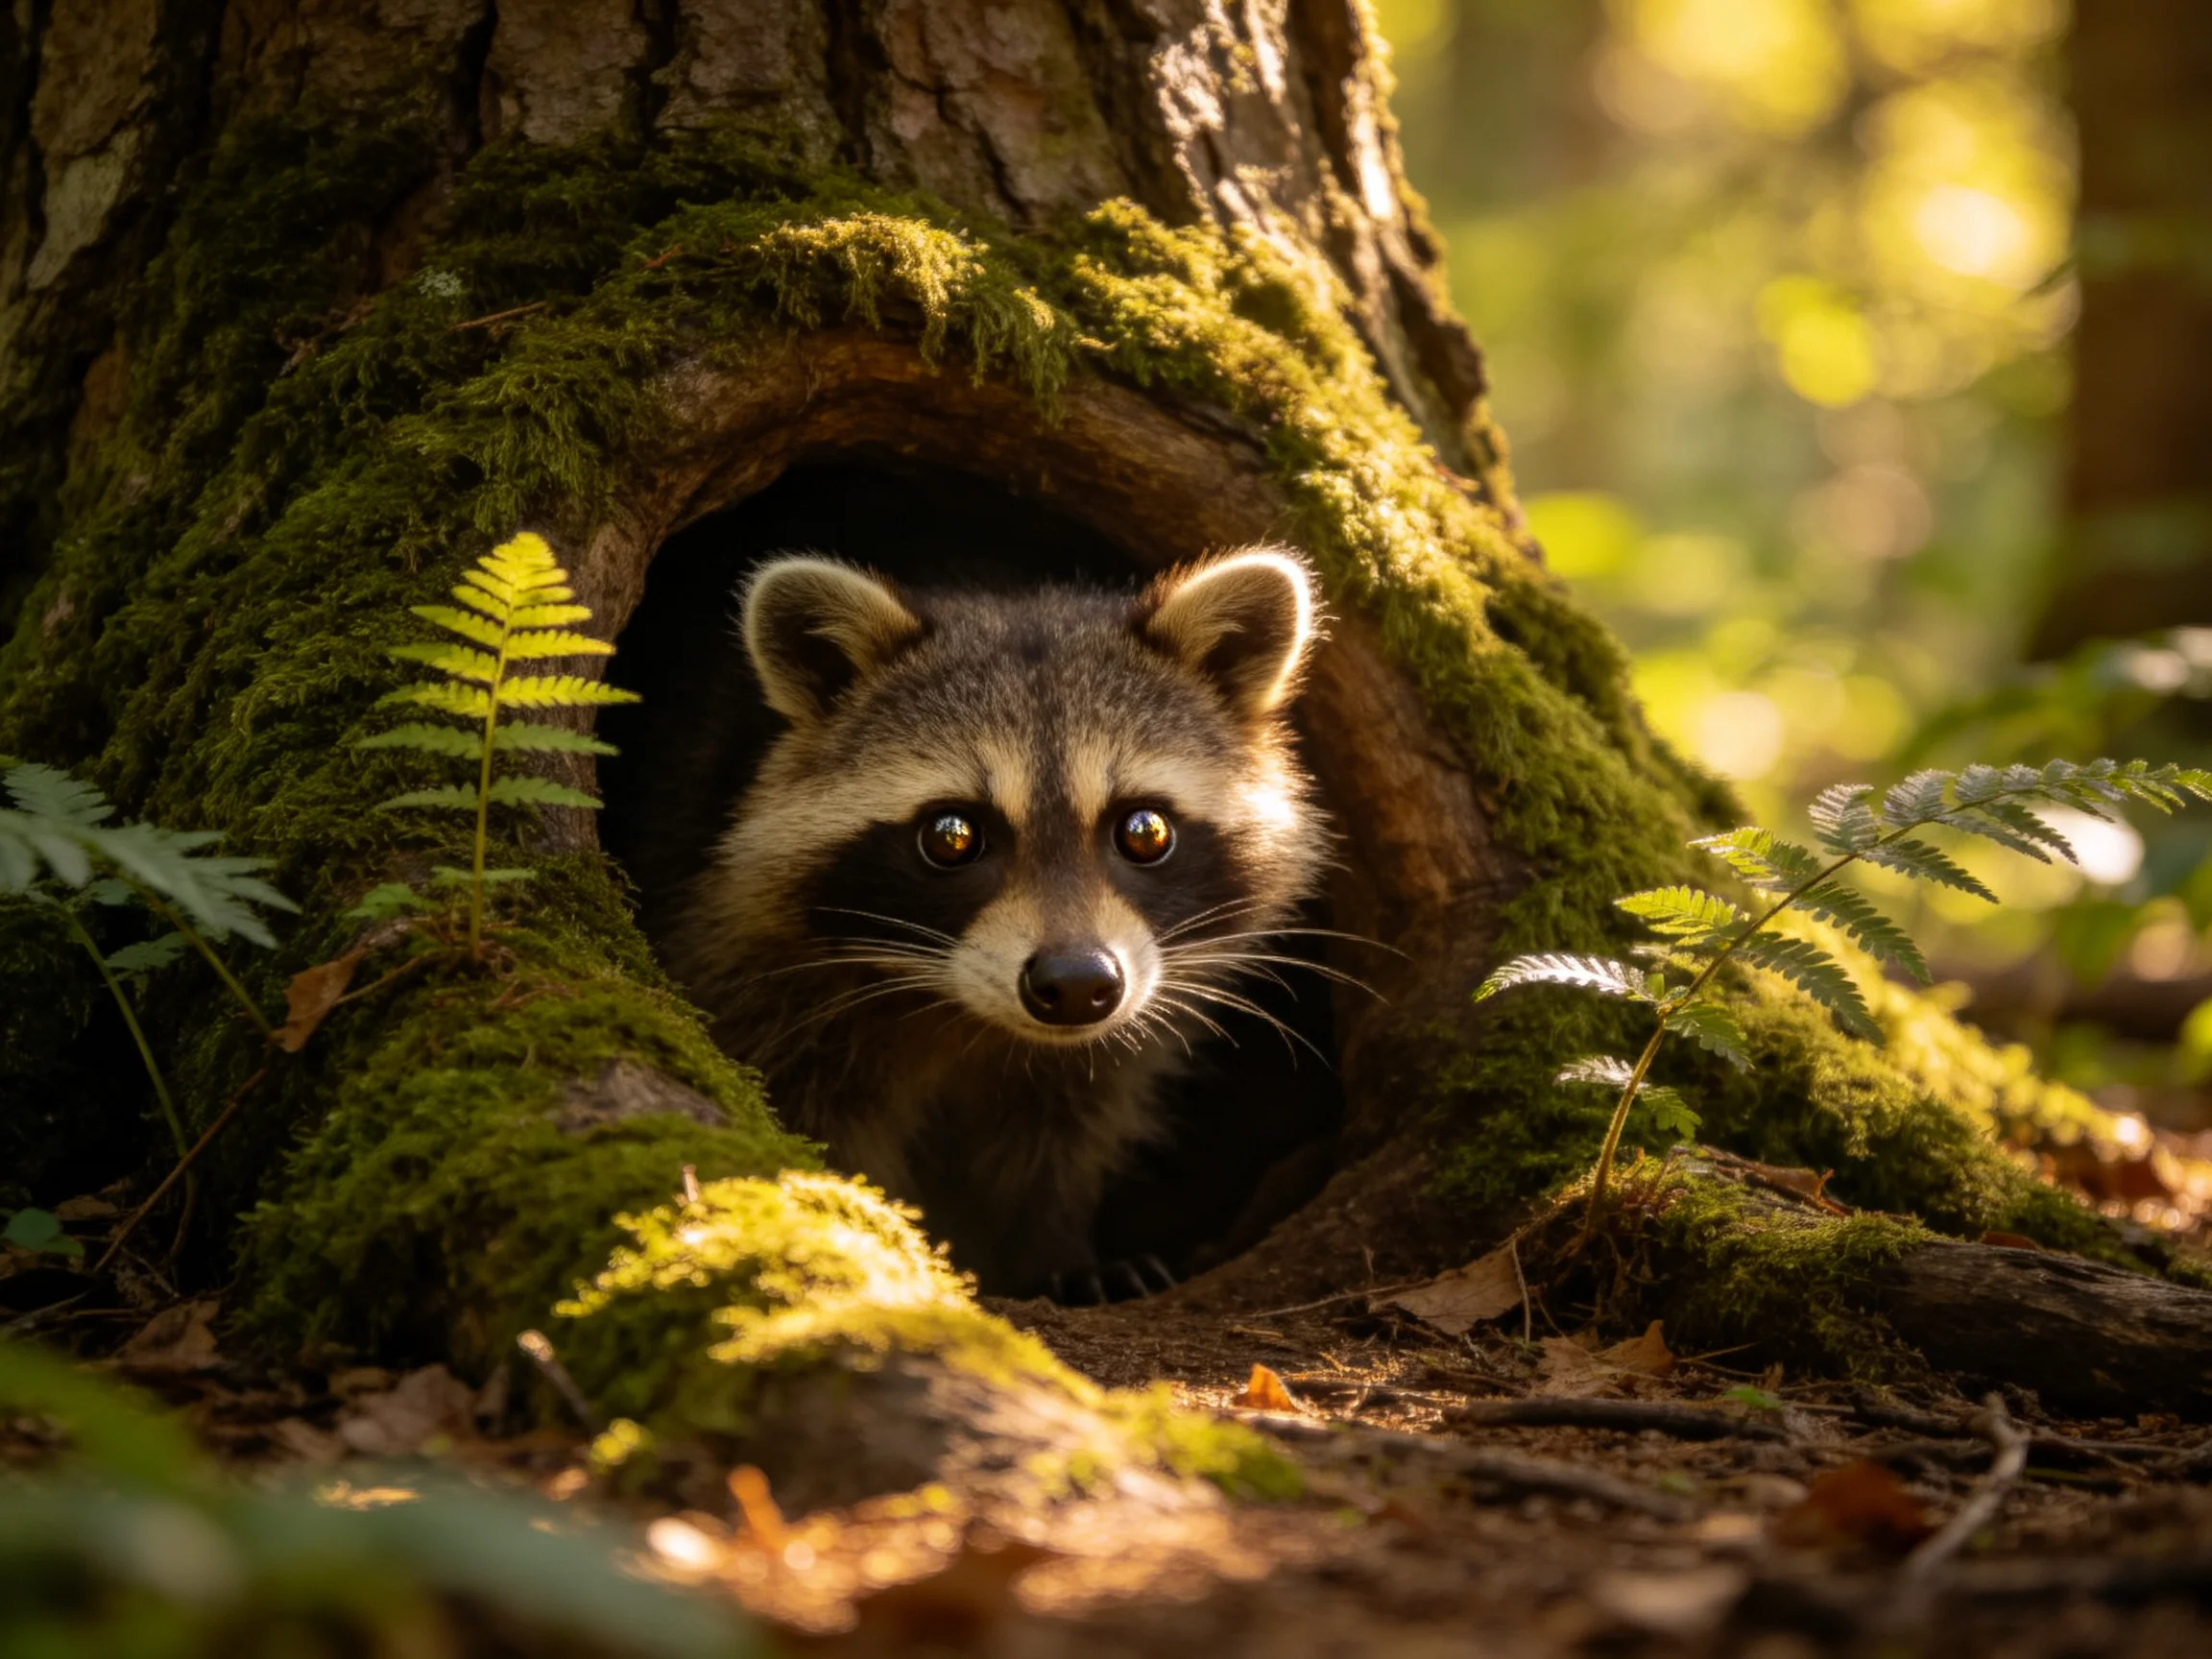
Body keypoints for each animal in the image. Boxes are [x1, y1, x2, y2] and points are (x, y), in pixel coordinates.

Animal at [665, 547, 1328, 1299]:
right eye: (952, 836)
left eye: (1145, 831)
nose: (1077, 984)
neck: (962, 1014)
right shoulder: (752, 965)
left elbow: (1061, 1133)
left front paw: (1053, 1246)